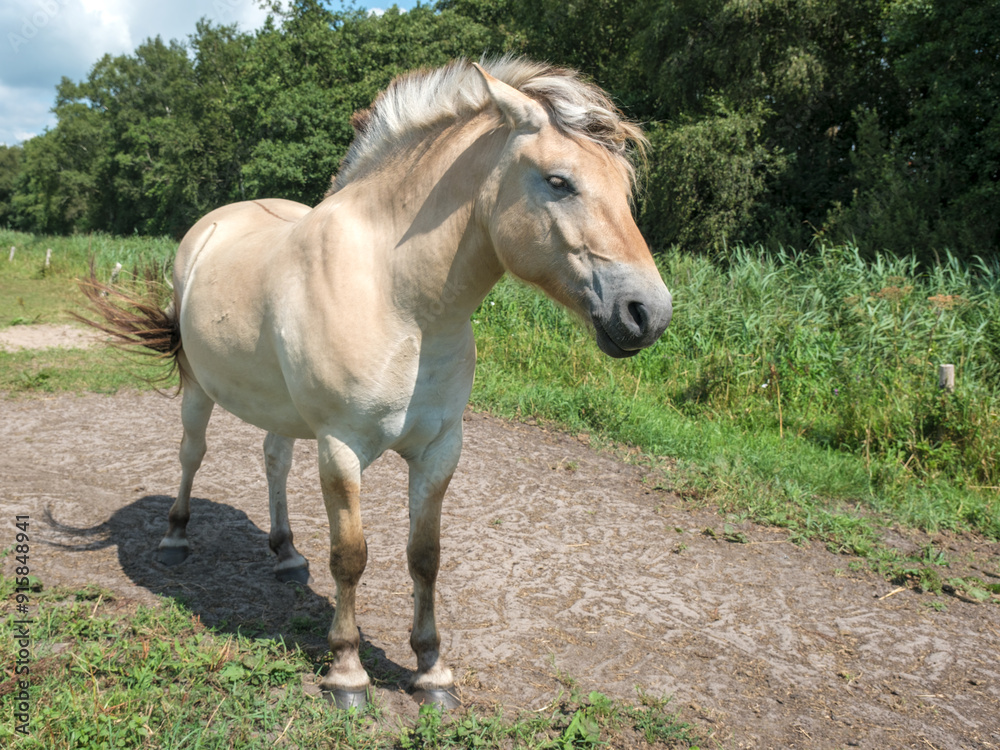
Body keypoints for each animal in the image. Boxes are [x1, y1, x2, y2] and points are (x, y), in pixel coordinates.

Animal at [80, 56, 672, 709]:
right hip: (198, 390)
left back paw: (286, 554)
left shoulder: (440, 450)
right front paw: (347, 672)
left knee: (274, 459)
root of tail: (211, 227)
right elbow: (350, 557)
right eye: (559, 181)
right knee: (191, 453)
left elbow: (425, 557)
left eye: (624, 189)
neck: (398, 297)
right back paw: (175, 541)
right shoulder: (341, 448)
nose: (648, 312)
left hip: (283, 411)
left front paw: (432, 671)